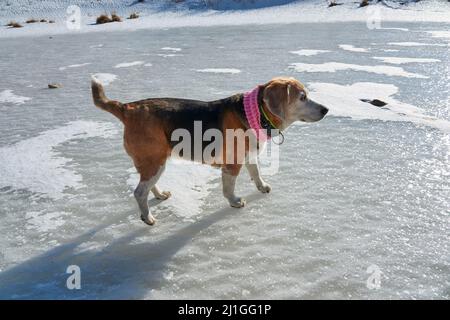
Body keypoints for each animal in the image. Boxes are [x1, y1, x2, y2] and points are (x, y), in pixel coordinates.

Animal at [90, 75, 326, 225]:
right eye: (302, 97)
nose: (326, 109)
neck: (256, 111)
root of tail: (128, 108)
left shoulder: (249, 156)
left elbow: (256, 174)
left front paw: (262, 187)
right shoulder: (232, 165)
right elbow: (228, 189)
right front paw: (235, 202)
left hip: (153, 162)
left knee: (147, 186)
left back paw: (159, 195)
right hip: (155, 162)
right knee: (139, 192)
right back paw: (147, 218)